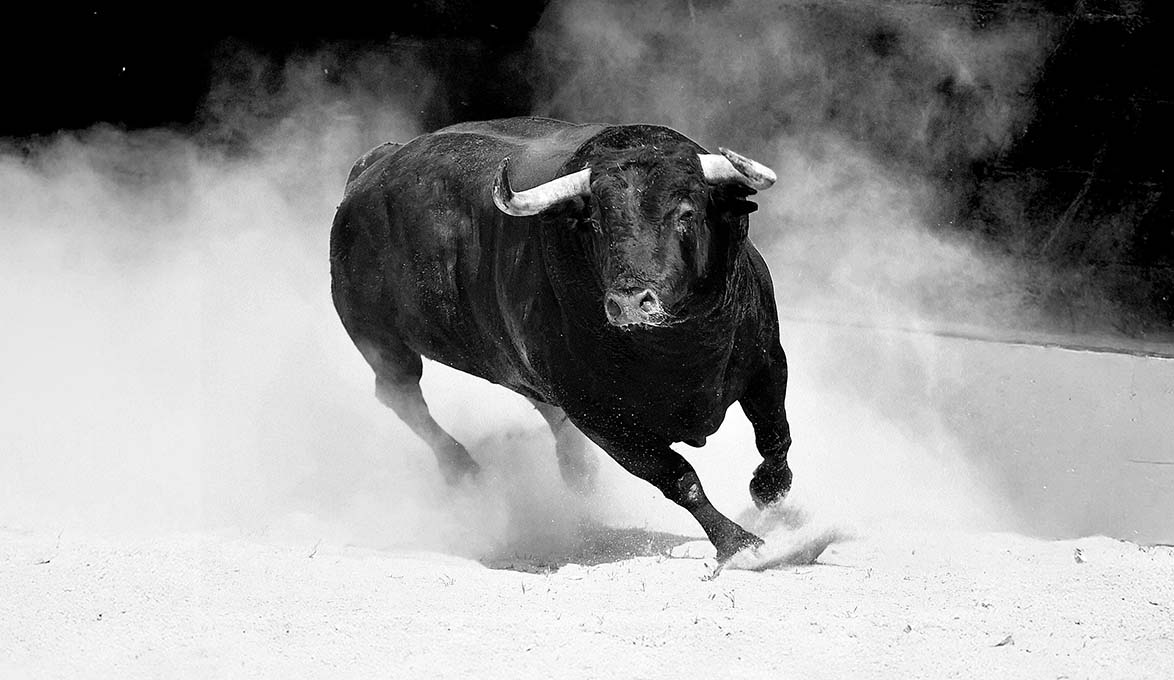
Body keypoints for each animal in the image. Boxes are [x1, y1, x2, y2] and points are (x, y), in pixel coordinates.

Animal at [330, 117, 793, 563]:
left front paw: (768, 493)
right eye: (596, 222)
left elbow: (774, 437)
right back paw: (464, 468)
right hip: (379, 339)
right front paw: (739, 544)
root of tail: (370, 169)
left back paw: (576, 471)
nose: (630, 302)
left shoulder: (768, 360)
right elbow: (678, 477)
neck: (679, 350)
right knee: (402, 395)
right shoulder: (601, 417)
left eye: (687, 213)